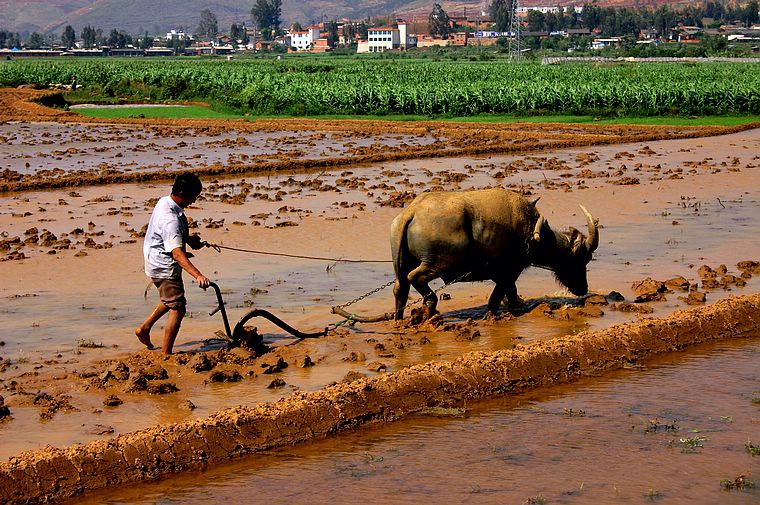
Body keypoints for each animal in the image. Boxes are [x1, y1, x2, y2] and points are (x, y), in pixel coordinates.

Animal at [392, 187, 600, 320]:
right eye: (580, 259)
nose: (583, 289)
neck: (532, 233)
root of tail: (411, 212)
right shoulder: (510, 271)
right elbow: (505, 292)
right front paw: (515, 308)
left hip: (402, 265)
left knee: (400, 287)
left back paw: (400, 318)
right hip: (439, 263)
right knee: (415, 278)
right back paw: (430, 306)